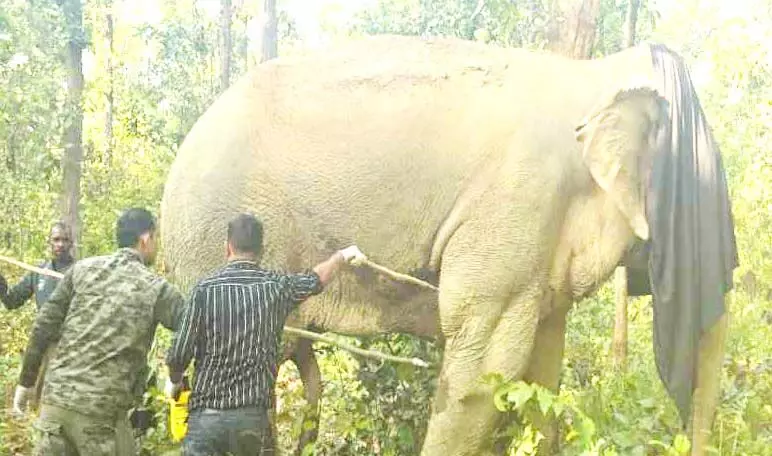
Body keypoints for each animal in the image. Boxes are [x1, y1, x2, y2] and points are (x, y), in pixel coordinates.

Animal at [161, 36, 736, 456]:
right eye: (709, 190)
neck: (596, 76)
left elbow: (541, 364)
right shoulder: (516, 203)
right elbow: (483, 368)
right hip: (213, 237)